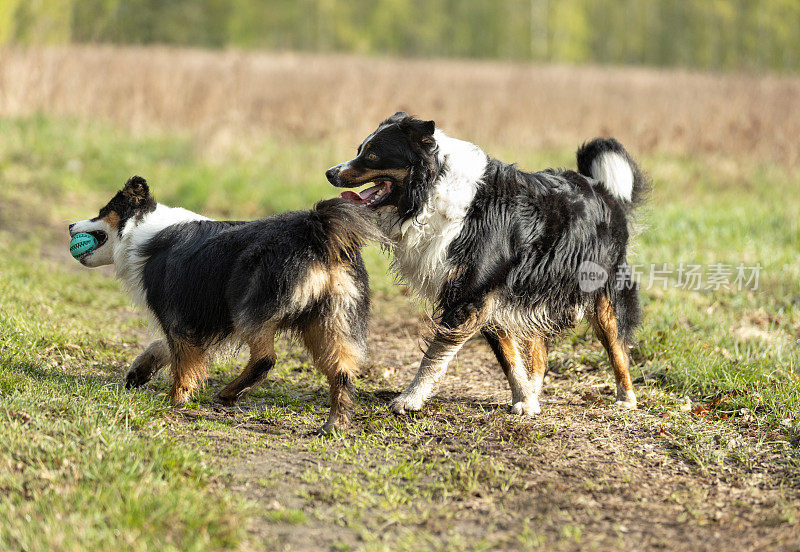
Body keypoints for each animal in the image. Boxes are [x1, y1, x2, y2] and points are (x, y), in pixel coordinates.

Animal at [68, 176, 382, 432]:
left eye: (101, 212)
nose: (70, 224)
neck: (140, 230)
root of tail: (318, 232)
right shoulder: (195, 322)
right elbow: (164, 347)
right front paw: (139, 372)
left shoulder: (176, 314)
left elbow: (182, 362)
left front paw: (175, 399)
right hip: (332, 320)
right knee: (341, 371)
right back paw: (334, 424)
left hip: (248, 305)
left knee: (265, 359)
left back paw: (229, 393)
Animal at [328, 113, 648, 418]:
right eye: (360, 150)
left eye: (372, 155)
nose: (330, 173)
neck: (432, 190)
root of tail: (603, 189)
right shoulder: (490, 297)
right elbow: (509, 358)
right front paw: (526, 401)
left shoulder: (471, 293)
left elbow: (435, 353)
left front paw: (409, 399)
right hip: (531, 290)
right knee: (539, 349)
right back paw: (535, 391)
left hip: (602, 292)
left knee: (617, 345)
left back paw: (626, 398)